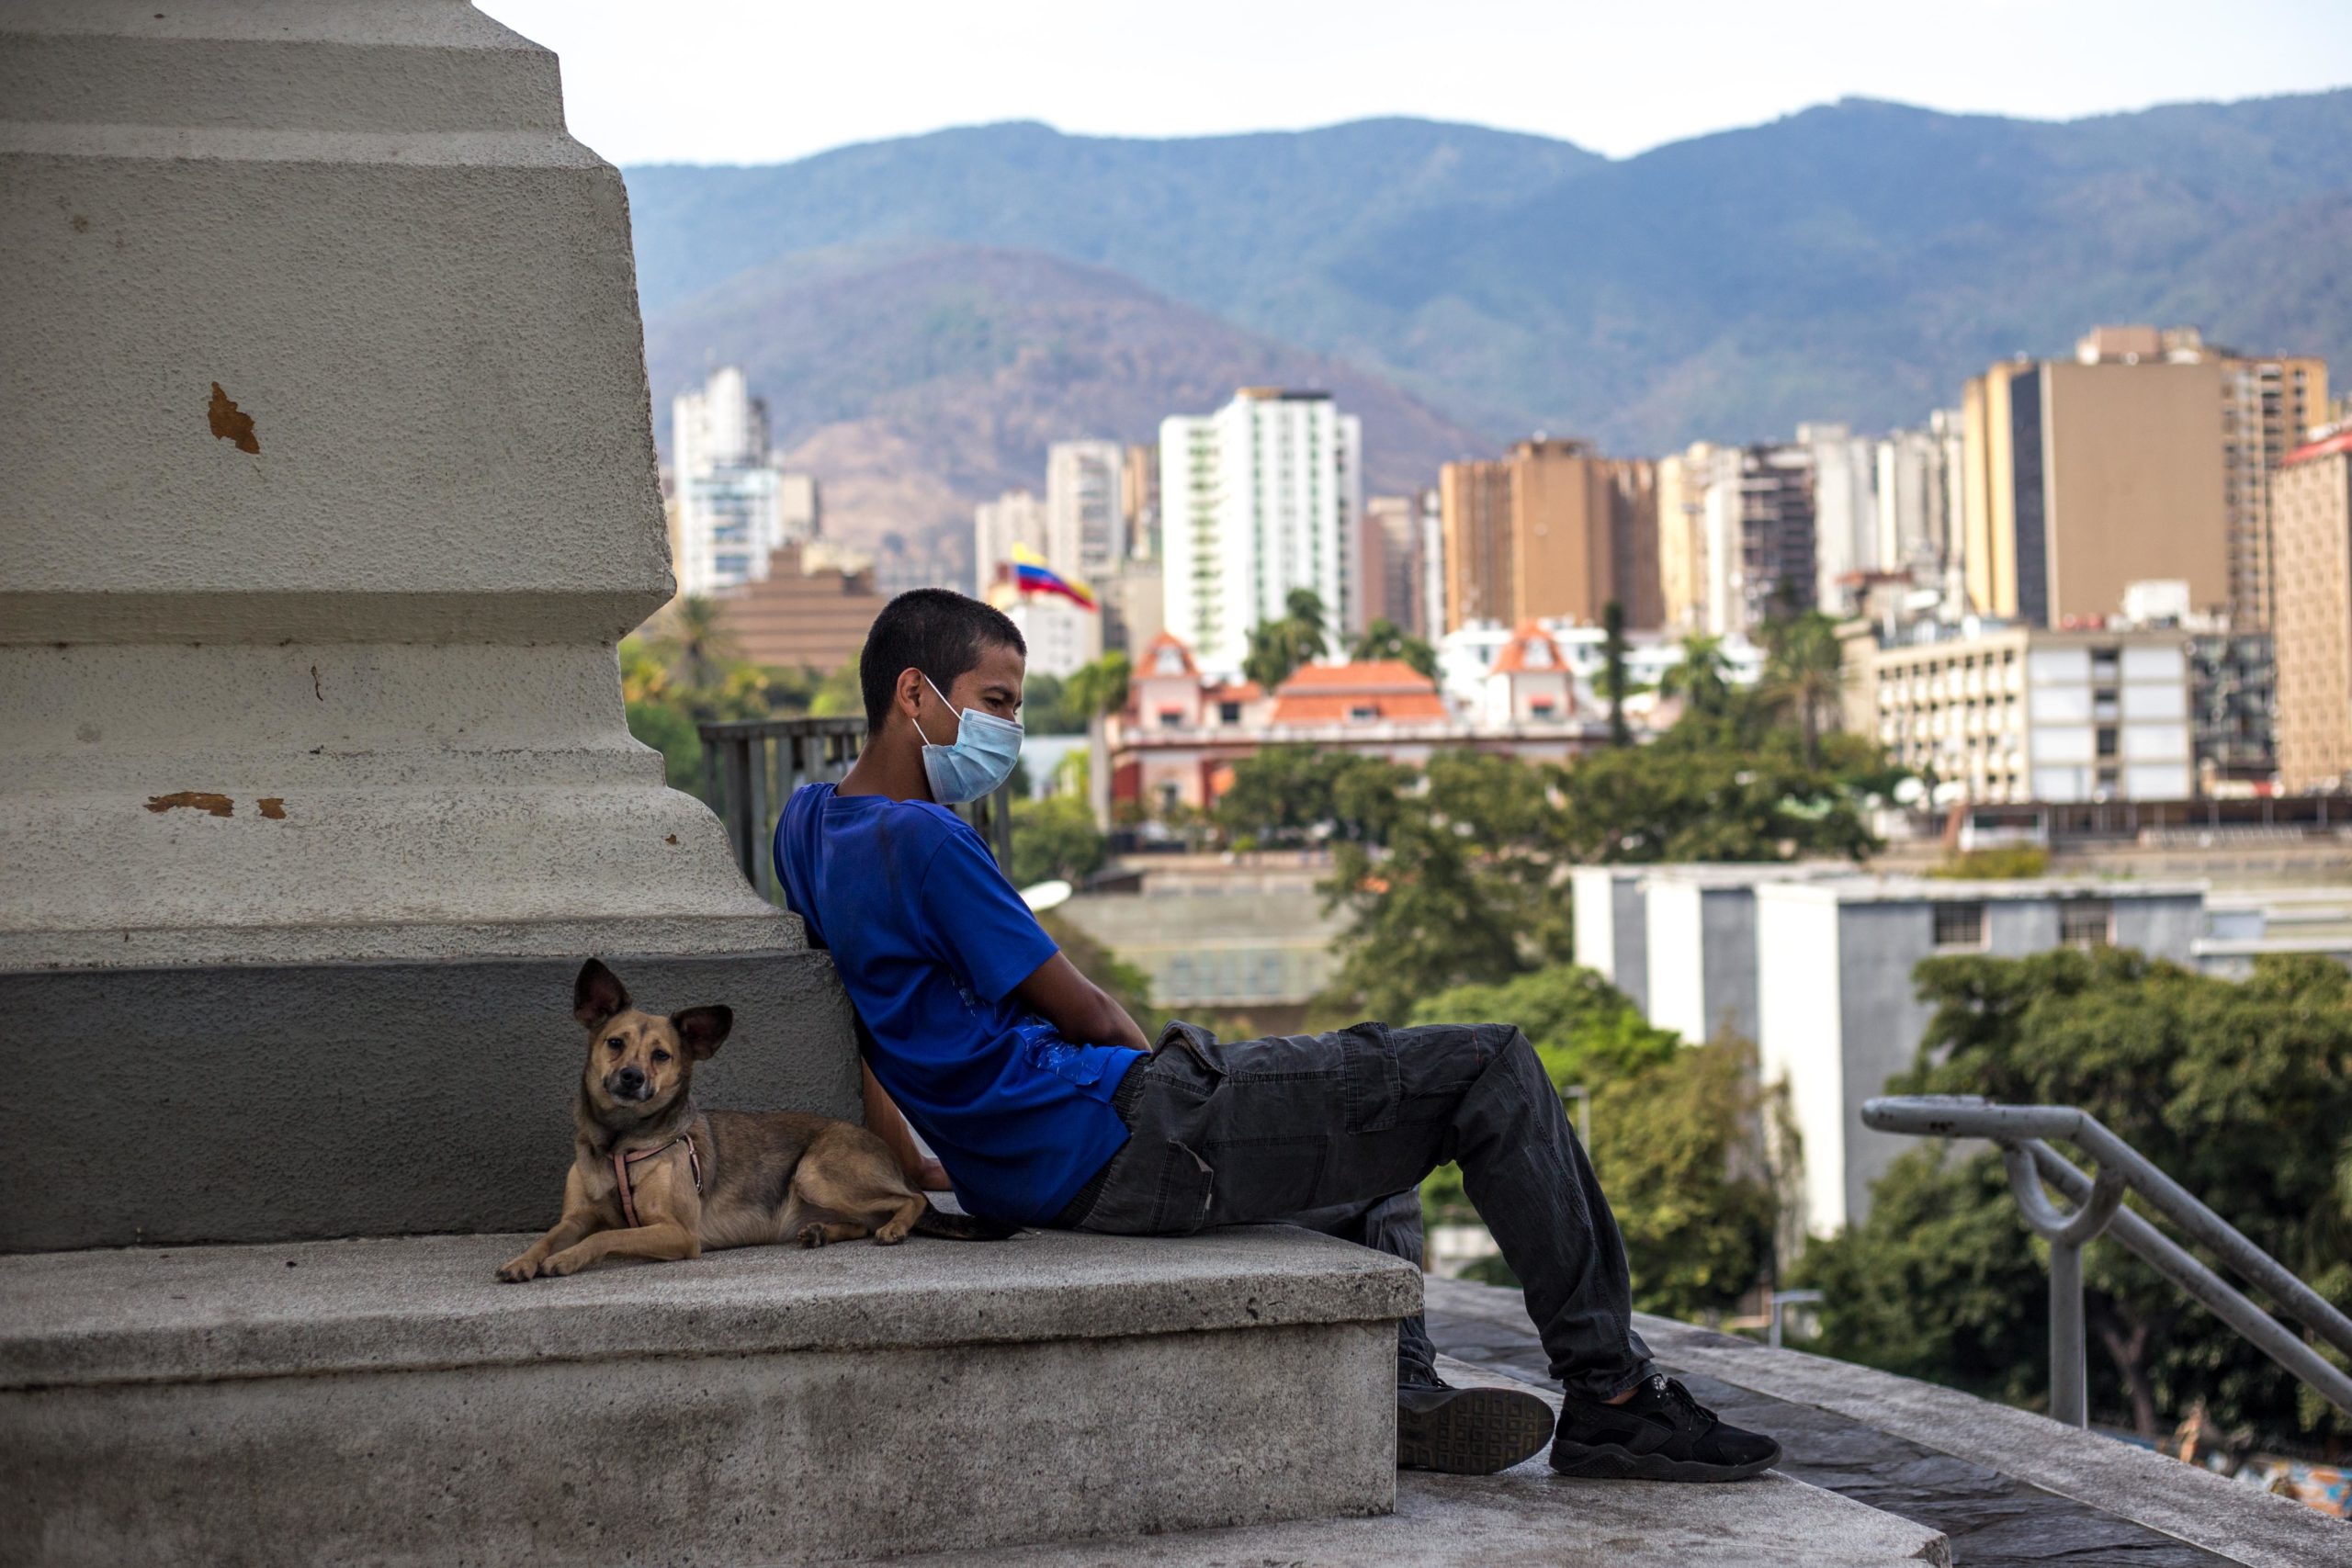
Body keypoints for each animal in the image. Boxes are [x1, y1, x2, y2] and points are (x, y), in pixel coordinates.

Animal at [496, 959, 1011, 1288]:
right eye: (615, 1043)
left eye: (662, 1055)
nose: (631, 1077)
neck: (619, 1144)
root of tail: (884, 1147)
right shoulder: (577, 1216)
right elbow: (553, 1235)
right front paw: (525, 1260)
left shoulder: (677, 1233)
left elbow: (609, 1234)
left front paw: (566, 1260)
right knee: (864, 1221)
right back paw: (821, 1233)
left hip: (815, 1172)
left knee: (912, 1200)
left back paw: (895, 1229)